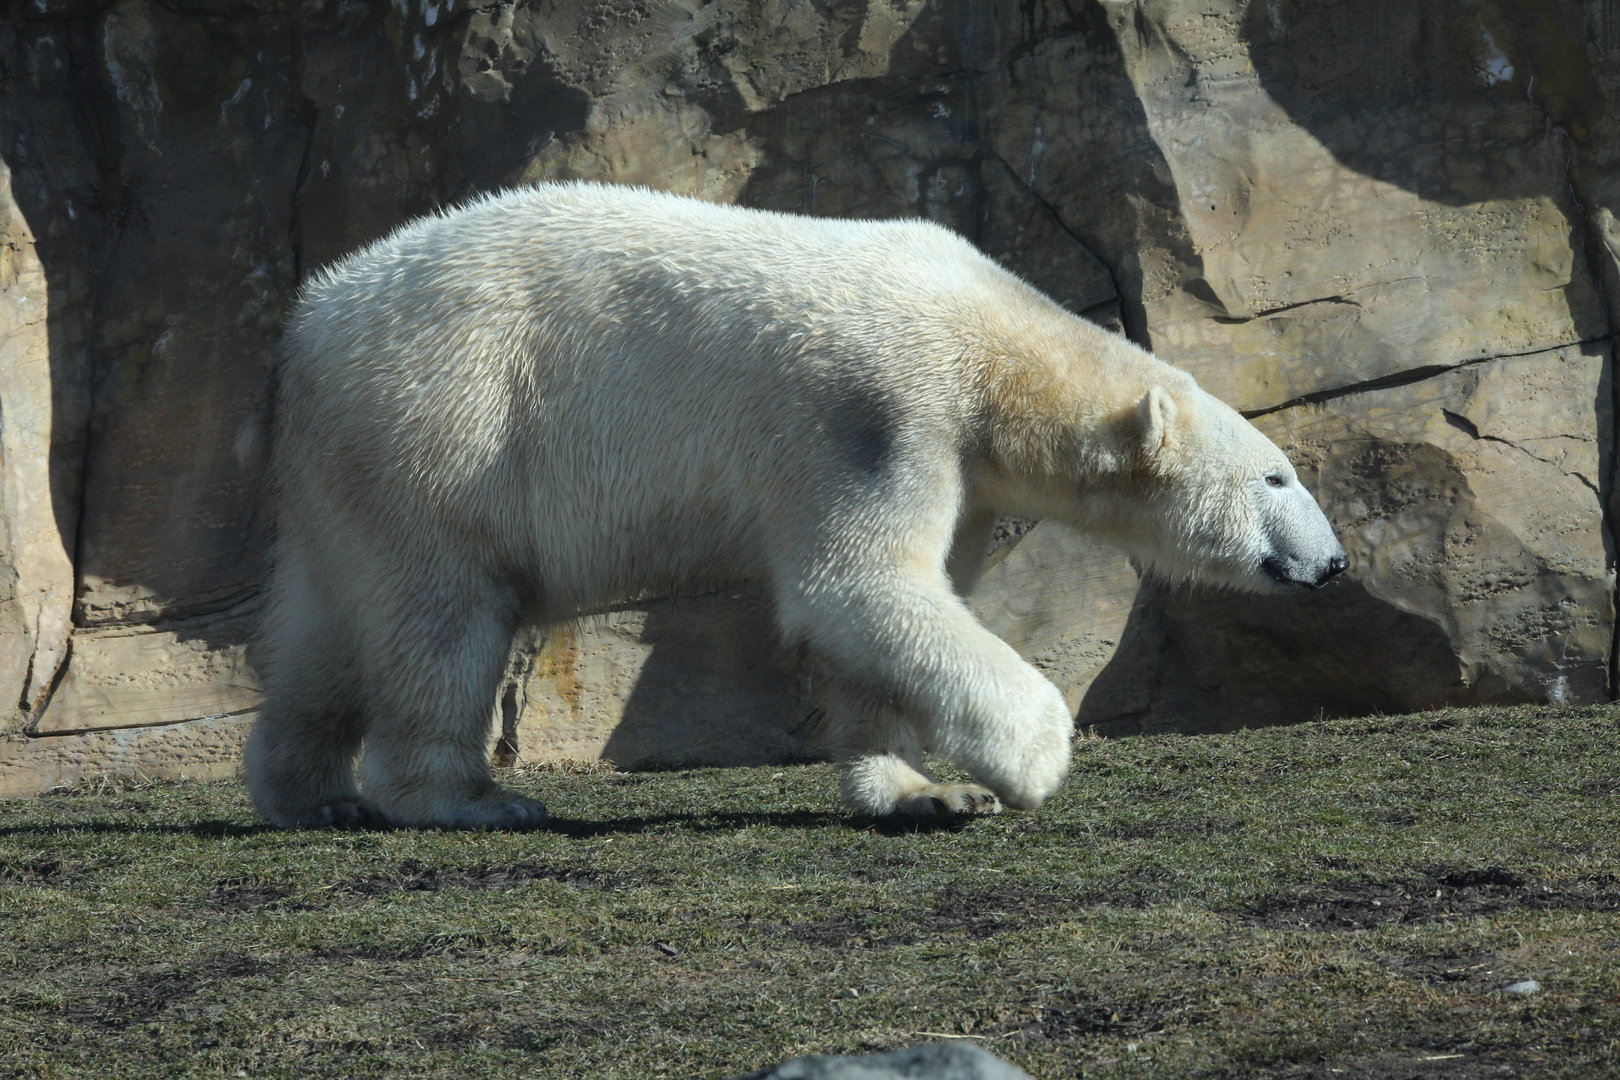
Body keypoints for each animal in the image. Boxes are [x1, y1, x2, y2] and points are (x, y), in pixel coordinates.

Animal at [241, 181, 1347, 830]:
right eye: (1277, 477)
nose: (1333, 564)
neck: (992, 346)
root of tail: (309, 326)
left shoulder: (956, 463)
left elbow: (894, 611)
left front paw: (921, 790)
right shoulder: (878, 413)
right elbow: (854, 584)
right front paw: (1032, 759)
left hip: (352, 469)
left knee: (326, 631)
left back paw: (308, 793)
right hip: (451, 423)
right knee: (444, 618)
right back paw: (467, 798)